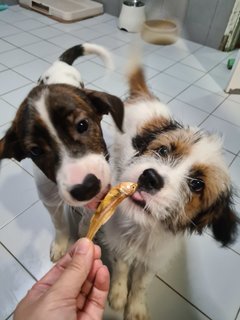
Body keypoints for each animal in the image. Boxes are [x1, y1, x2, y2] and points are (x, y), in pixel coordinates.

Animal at [0, 85, 123, 262]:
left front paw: (84, 231)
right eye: (35, 151)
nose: (86, 188)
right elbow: (58, 224)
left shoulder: (101, 195)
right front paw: (60, 244)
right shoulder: (49, 201)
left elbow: (89, 216)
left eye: (82, 125)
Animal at [102, 62, 238, 320]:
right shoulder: (119, 241)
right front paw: (118, 294)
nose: (150, 178)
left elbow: (141, 283)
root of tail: (146, 97)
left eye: (197, 184)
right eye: (163, 150)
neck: (143, 228)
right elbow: (122, 268)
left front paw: (135, 307)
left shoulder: (154, 259)